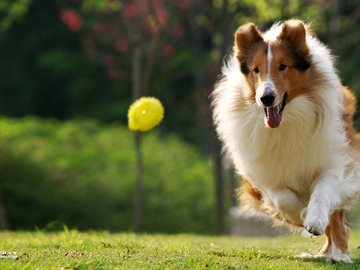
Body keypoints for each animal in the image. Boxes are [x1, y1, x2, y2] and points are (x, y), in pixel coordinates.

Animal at [211, 19, 360, 264]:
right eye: (256, 69)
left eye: (283, 66)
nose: (266, 98)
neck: (287, 123)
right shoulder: (264, 178)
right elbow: (283, 198)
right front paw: (303, 213)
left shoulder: (337, 161)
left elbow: (322, 191)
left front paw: (314, 218)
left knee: (337, 222)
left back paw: (338, 255)